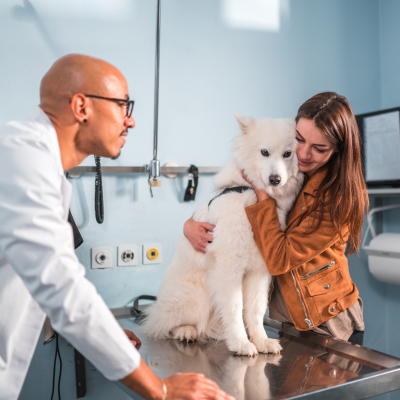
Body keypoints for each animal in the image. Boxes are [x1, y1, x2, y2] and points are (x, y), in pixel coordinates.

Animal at [142, 115, 304, 356]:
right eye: (264, 152)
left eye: (288, 153)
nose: (275, 179)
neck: (251, 196)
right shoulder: (229, 269)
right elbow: (235, 308)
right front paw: (241, 343)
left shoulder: (260, 271)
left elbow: (255, 310)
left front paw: (261, 341)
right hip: (198, 297)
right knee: (162, 323)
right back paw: (186, 331)